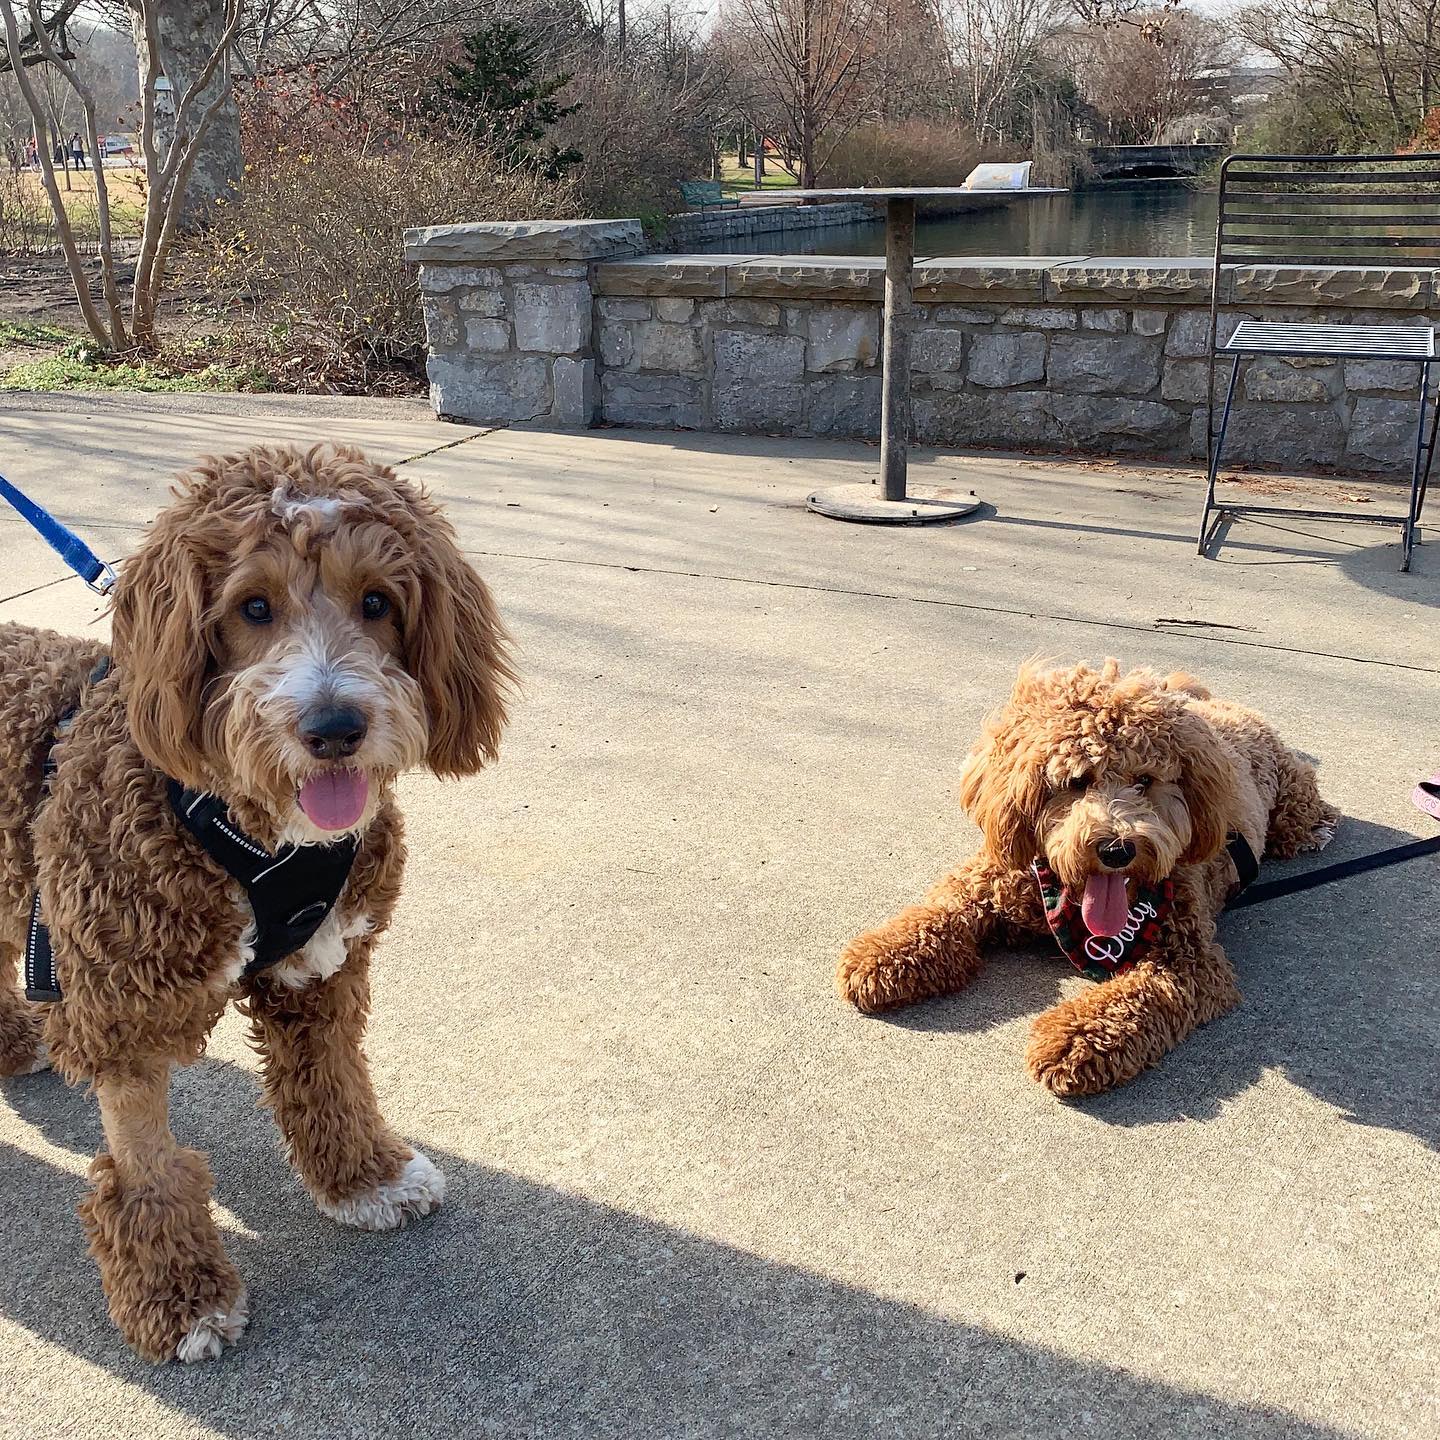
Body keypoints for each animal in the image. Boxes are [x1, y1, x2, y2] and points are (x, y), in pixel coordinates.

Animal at [0, 443, 515, 1365]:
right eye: (253, 607)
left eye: (377, 602)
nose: (335, 726)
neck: (259, 837)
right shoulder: (123, 1007)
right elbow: (147, 1167)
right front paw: (177, 1294)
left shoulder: (321, 965)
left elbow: (333, 1081)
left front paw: (366, 1176)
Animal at [835, 665, 1336, 1100]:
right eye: (1076, 780)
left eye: (1144, 780)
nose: (1117, 849)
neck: (1070, 898)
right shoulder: (990, 882)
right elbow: (940, 910)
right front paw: (882, 956)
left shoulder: (1189, 960)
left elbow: (1133, 997)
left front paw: (1075, 1039)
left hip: (1290, 799)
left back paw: (1319, 829)